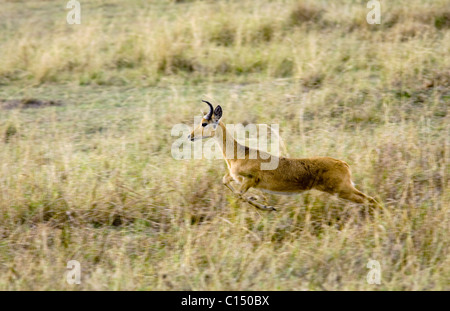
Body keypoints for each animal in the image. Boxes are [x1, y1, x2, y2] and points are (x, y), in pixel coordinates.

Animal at [188, 100, 382, 212]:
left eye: (204, 123)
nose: (190, 136)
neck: (239, 154)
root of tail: (343, 163)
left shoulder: (249, 181)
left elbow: (240, 196)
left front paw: (267, 206)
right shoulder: (235, 178)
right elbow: (226, 183)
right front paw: (263, 202)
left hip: (343, 190)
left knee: (372, 200)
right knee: (371, 200)